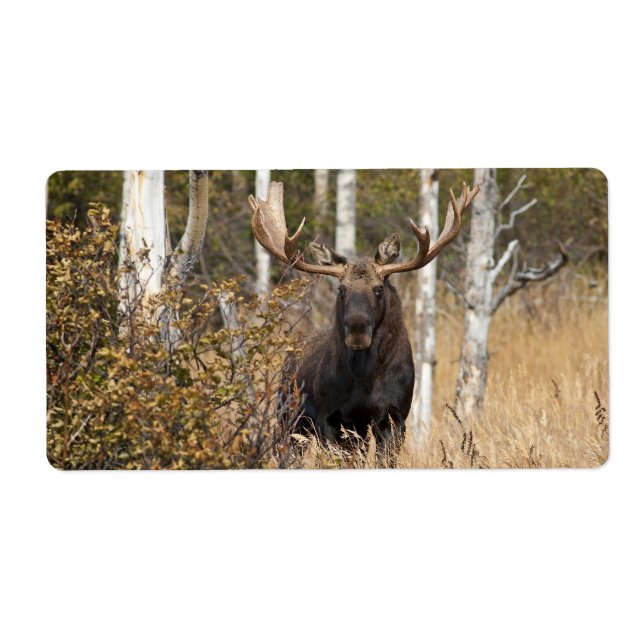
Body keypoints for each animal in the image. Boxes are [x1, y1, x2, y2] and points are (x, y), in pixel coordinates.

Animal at [248, 180, 479, 464]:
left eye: (378, 288)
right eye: (341, 289)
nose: (357, 331)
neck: (366, 380)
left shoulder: (395, 416)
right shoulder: (331, 417)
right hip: (289, 416)